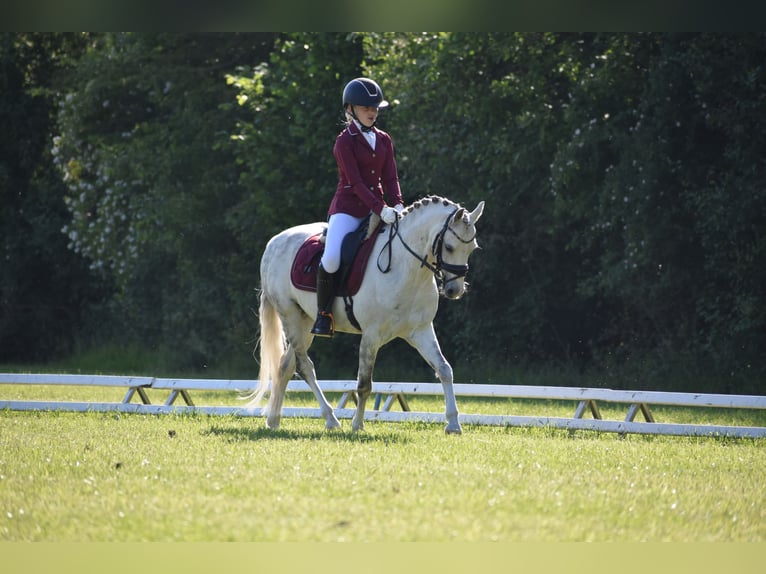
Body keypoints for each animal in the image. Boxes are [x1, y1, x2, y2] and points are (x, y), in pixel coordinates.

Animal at [254, 196, 486, 434]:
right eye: (449, 247)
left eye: (472, 248)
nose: (454, 290)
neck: (406, 268)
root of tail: (273, 243)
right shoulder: (371, 336)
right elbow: (364, 384)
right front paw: (357, 425)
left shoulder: (421, 330)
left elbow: (444, 369)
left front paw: (453, 423)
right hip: (290, 316)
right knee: (304, 366)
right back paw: (331, 418)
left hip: (305, 322)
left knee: (285, 366)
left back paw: (274, 420)